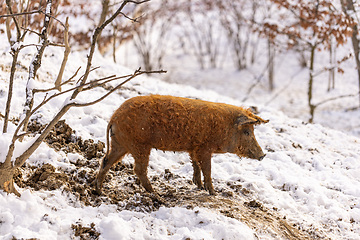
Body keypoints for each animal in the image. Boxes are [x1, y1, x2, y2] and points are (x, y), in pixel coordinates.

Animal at [94, 94, 268, 195]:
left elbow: (196, 165)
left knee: (105, 161)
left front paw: (199, 186)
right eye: (247, 132)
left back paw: (99, 191)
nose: (263, 155)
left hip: (120, 144)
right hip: (140, 146)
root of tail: (114, 117)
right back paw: (157, 195)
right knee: (138, 170)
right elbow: (207, 169)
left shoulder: (194, 148)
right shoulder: (204, 148)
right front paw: (213, 192)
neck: (224, 127)